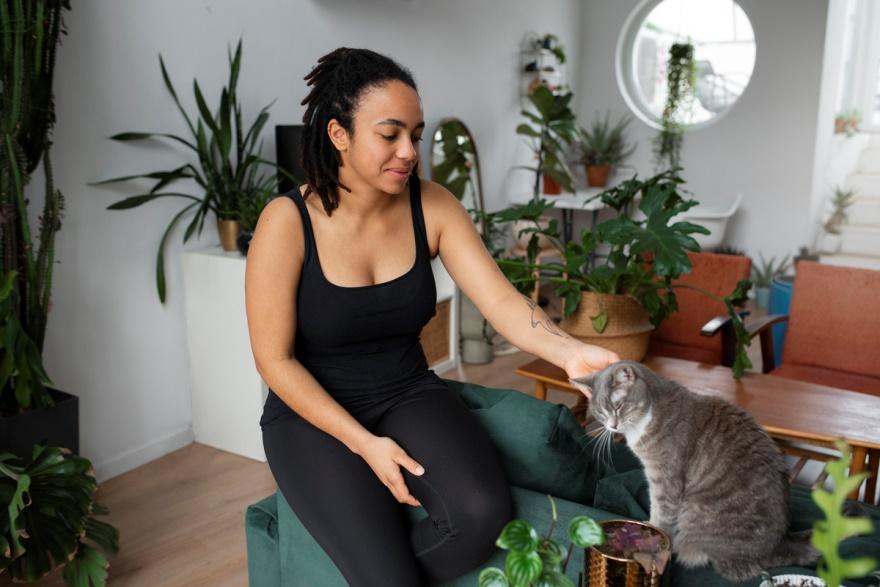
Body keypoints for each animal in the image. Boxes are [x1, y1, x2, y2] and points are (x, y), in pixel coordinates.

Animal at [572, 360, 820, 580]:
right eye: (600, 413)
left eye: (618, 407)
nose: (612, 426)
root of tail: (780, 545)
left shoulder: (664, 478)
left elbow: (661, 514)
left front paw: (652, 534)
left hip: (697, 515)